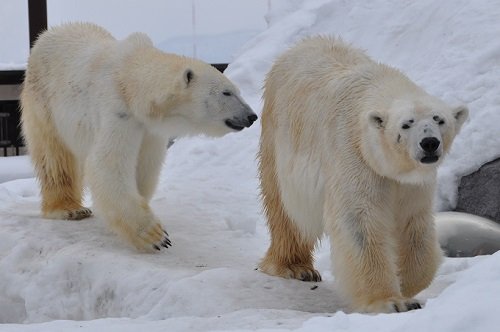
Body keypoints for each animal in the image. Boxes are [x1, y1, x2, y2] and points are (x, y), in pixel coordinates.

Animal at [21, 22, 256, 252]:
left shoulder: (149, 128)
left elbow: (144, 166)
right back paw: (69, 209)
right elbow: (108, 166)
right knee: (55, 158)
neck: (129, 77)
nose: (251, 116)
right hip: (44, 103)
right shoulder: (118, 111)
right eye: (227, 92)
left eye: (237, 90)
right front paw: (155, 236)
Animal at [258, 37, 468, 314]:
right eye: (406, 124)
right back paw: (294, 267)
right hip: (277, 138)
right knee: (286, 211)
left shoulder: (411, 183)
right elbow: (360, 222)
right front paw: (389, 301)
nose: (429, 143)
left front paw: (405, 285)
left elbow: (413, 224)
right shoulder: (355, 155)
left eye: (439, 119)